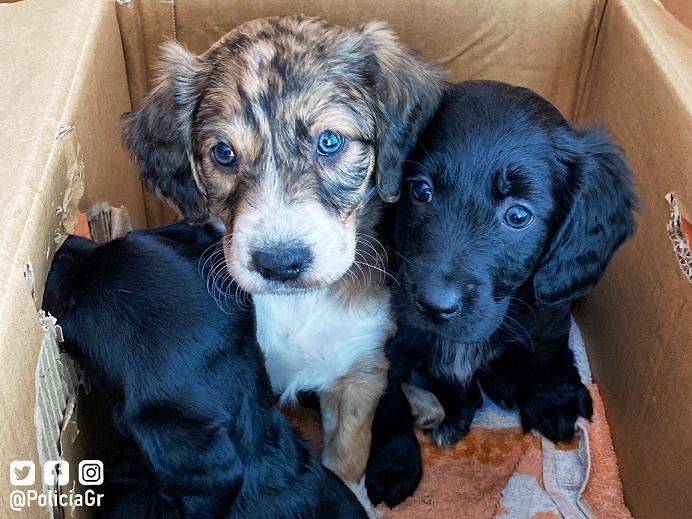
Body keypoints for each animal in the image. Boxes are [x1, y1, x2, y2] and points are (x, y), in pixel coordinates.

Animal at [368, 80, 636, 508]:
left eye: (518, 215)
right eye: (421, 190)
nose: (433, 305)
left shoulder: (547, 317)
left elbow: (545, 358)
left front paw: (553, 402)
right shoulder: (389, 339)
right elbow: (387, 400)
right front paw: (393, 463)